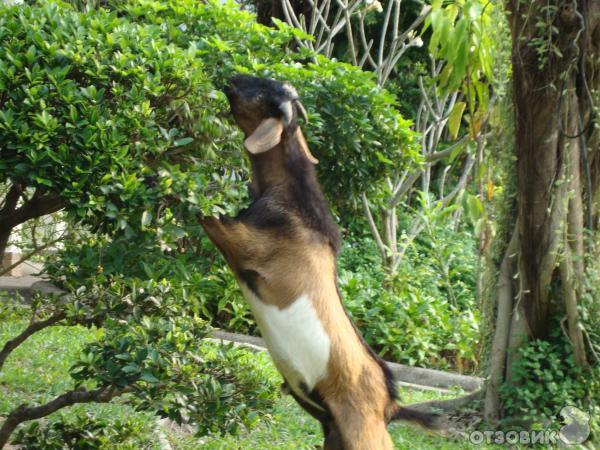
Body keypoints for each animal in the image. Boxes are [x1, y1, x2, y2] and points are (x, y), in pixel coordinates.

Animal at [199, 74, 438, 450]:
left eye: (264, 92)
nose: (232, 78)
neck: (295, 201)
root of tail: (391, 407)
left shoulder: (246, 246)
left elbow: (207, 214)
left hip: (365, 434)